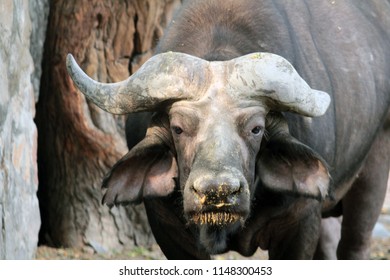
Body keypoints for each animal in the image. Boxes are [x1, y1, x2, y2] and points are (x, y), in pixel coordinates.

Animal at [65, 0, 388, 260]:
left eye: (256, 129)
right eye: (178, 128)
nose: (217, 191)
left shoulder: (299, 222)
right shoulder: (168, 229)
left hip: (373, 175)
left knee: (354, 245)